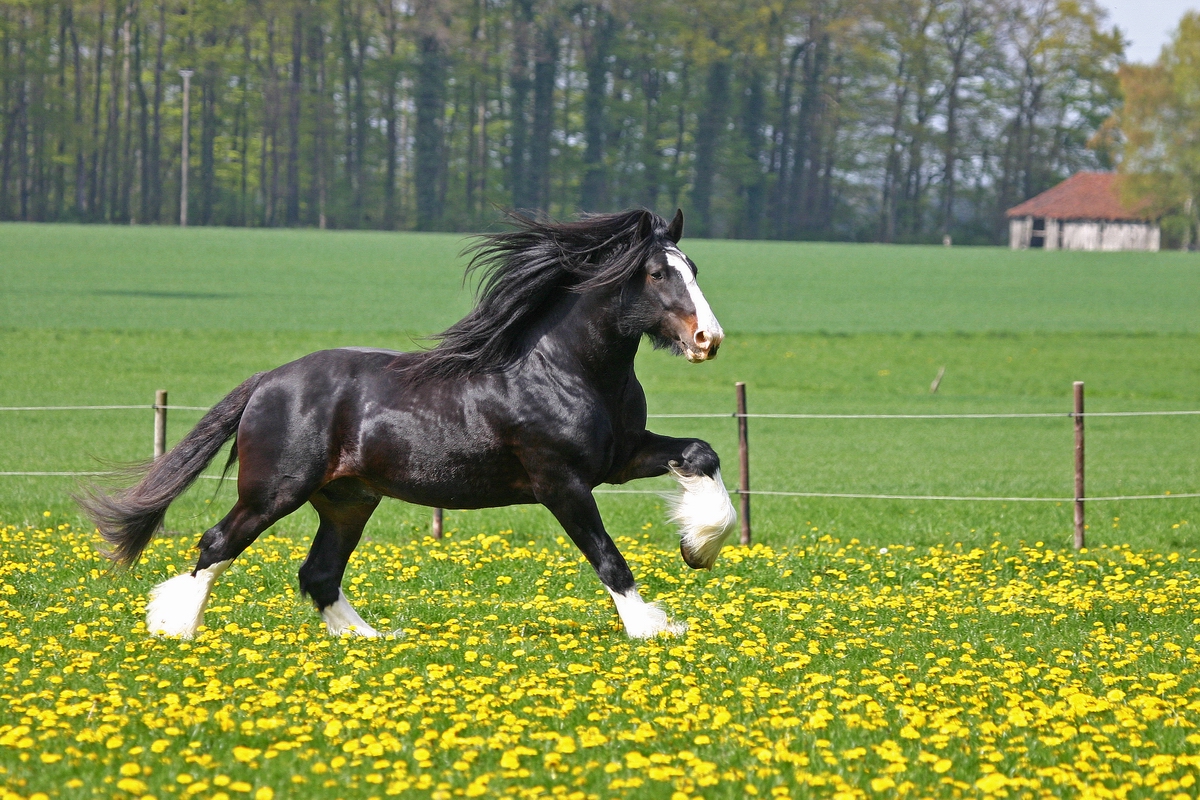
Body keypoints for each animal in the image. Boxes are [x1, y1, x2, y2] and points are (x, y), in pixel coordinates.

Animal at [79, 208, 737, 640]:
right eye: (657, 273)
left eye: (694, 267)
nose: (709, 339)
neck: (565, 368)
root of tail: (267, 381)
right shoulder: (561, 482)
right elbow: (607, 556)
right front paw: (652, 627)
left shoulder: (619, 458)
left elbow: (701, 454)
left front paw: (697, 547)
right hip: (274, 491)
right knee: (216, 544)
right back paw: (172, 627)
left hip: (348, 499)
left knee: (318, 573)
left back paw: (371, 639)